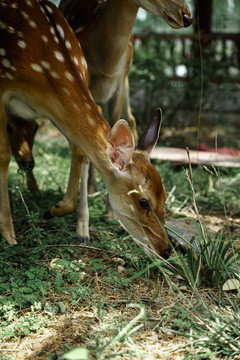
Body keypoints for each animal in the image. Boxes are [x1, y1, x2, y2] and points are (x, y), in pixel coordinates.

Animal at [0, 0, 172, 258]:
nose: (167, 250)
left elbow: (79, 150)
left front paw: (58, 212)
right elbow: (2, 155)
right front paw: (9, 235)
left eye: (165, 197)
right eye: (144, 201)